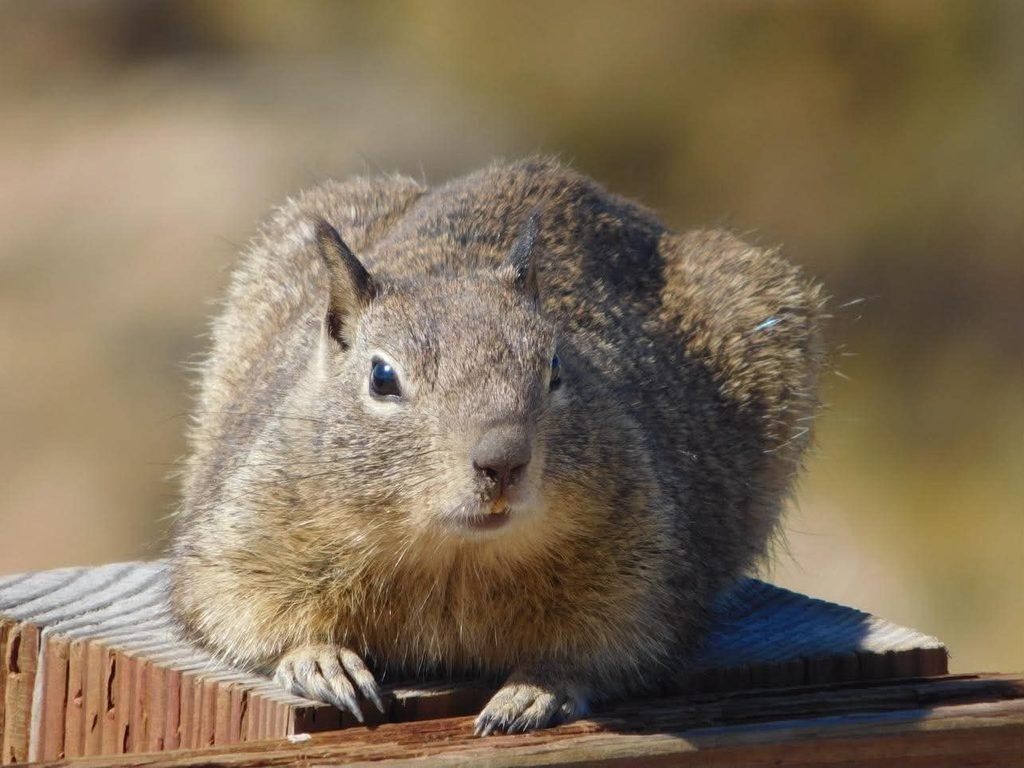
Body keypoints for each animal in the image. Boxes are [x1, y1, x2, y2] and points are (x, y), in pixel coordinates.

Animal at [170, 157, 825, 735]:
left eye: (556, 366)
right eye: (382, 377)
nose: (503, 461)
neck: (451, 556)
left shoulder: (647, 573)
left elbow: (611, 648)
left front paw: (537, 689)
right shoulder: (242, 532)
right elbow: (231, 608)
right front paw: (321, 660)